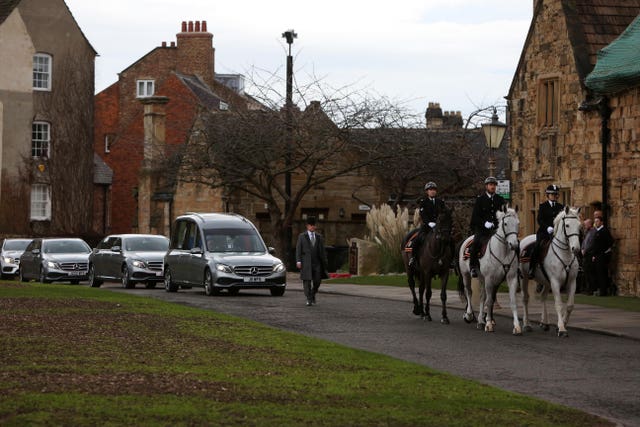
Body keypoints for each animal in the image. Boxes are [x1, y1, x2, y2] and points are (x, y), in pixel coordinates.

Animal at [456, 206, 520, 334]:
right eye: (505, 223)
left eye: (517, 223)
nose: (514, 245)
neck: (503, 252)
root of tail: (466, 240)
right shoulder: (490, 279)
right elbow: (489, 301)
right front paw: (489, 324)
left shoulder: (510, 278)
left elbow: (511, 301)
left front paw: (516, 326)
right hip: (466, 274)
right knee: (469, 292)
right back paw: (469, 315)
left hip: (482, 278)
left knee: (482, 296)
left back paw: (481, 320)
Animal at [516, 207, 584, 338]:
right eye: (567, 225)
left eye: (579, 226)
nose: (576, 249)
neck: (565, 255)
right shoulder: (555, 282)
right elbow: (558, 304)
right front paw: (561, 329)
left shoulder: (572, 282)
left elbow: (570, 305)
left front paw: (563, 324)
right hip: (524, 278)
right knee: (525, 298)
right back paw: (527, 324)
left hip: (546, 281)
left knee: (543, 297)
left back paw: (545, 323)